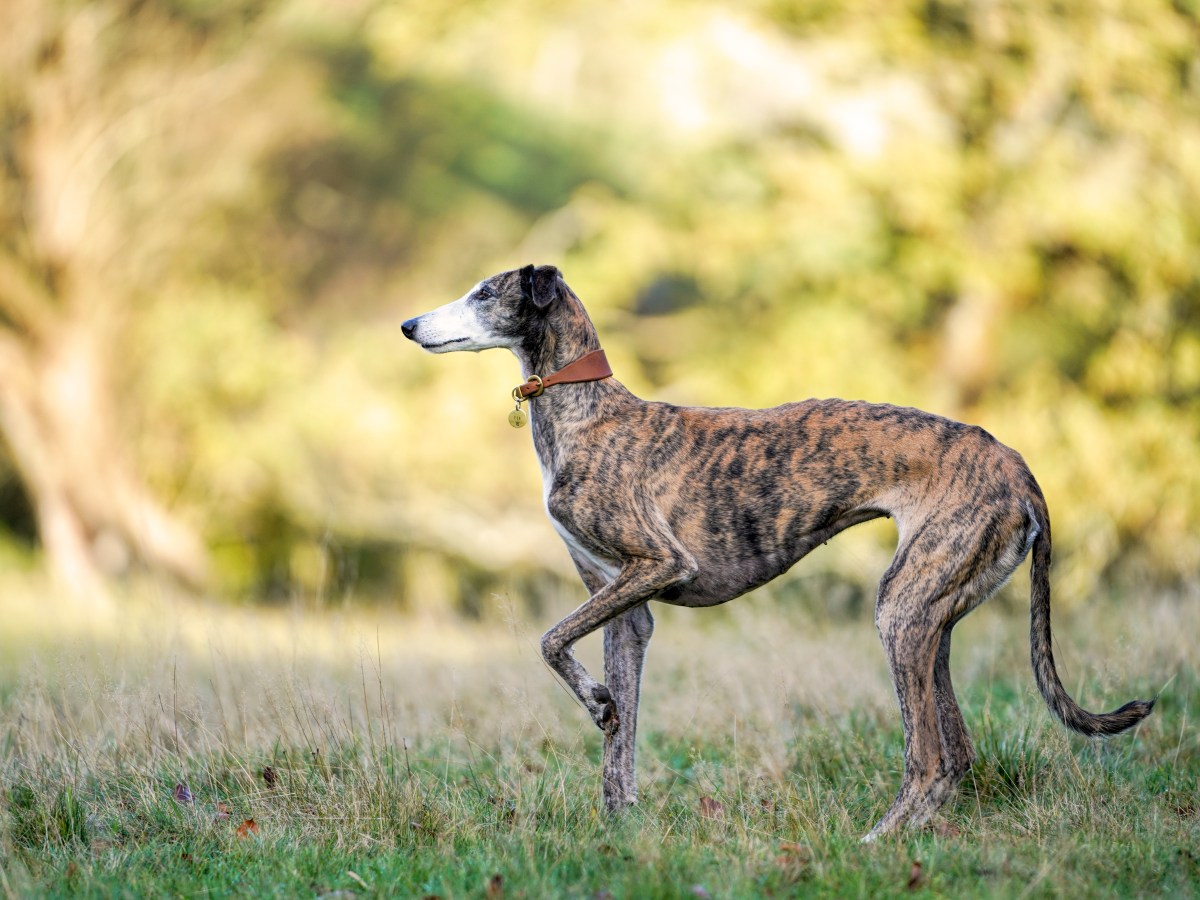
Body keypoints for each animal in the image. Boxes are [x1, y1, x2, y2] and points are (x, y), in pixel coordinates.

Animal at [403, 264, 1152, 844]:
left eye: (483, 292)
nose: (409, 325)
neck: (587, 412)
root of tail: (1016, 465)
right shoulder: (627, 610)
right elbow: (619, 742)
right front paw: (618, 830)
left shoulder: (658, 564)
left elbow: (550, 641)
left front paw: (595, 703)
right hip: (933, 613)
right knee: (958, 752)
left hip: (902, 609)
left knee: (930, 757)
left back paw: (875, 843)